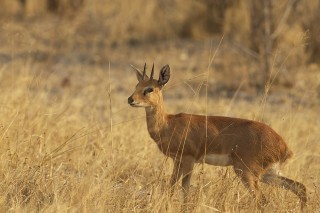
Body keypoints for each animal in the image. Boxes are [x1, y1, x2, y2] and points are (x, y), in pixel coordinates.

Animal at [127, 63, 308, 210]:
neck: (168, 124)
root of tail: (283, 146)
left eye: (150, 88)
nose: (130, 99)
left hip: (246, 172)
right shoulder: (177, 161)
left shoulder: (188, 159)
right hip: (268, 173)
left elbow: (185, 190)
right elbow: (171, 187)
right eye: (137, 85)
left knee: (262, 201)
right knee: (300, 187)